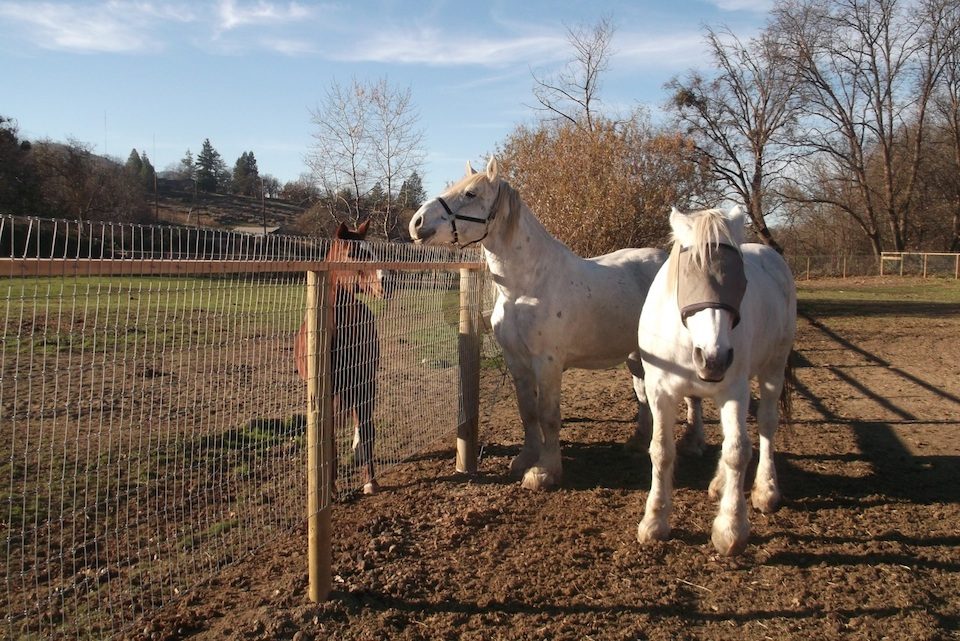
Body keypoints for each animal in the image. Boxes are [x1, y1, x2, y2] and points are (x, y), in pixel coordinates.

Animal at [295, 220, 384, 495]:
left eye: (372, 251)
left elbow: (367, 428)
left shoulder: (363, 381)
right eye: (353, 253)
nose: (386, 282)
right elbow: (330, 434)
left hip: (363, 383)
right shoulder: (326, 392)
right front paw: (331, 486)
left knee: (363, 421)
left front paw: (370, 481)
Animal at [408, 157, 703, 491]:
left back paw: (693, 443)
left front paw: (544, 472)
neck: (525, 288)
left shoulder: (547, 362)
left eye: (470, 193)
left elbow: (548, 415)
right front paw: (525, 460)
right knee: (642, 392)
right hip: (636, 352)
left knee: (692, 395)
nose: (417, 223)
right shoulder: (516, 361)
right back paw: (638, 441)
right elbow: (528, 411)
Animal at [635, 205, 796, 556]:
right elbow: (661, 451)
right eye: (689, 275)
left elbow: (737, 450)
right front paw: (654, 522)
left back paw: (766, 490)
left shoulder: (733, 391)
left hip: (773, 368)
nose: (714, 358)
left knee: (766, 425)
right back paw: (720, 484)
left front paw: (730, 529)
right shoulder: (659, 392)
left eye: (740, 279)